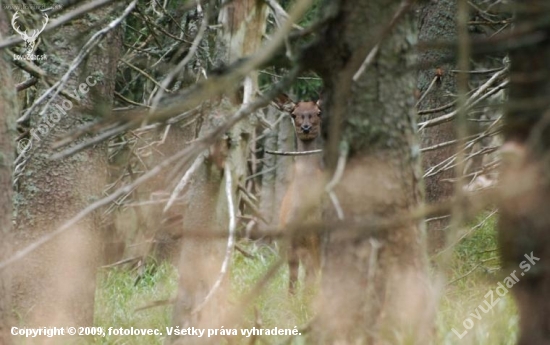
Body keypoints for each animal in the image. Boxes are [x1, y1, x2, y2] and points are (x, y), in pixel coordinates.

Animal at [274, 94, 326, 292]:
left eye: (318, 112)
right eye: (294, 114)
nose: (306, 127)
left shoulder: (317, 237)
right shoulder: (289, 238)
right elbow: (293, 279)